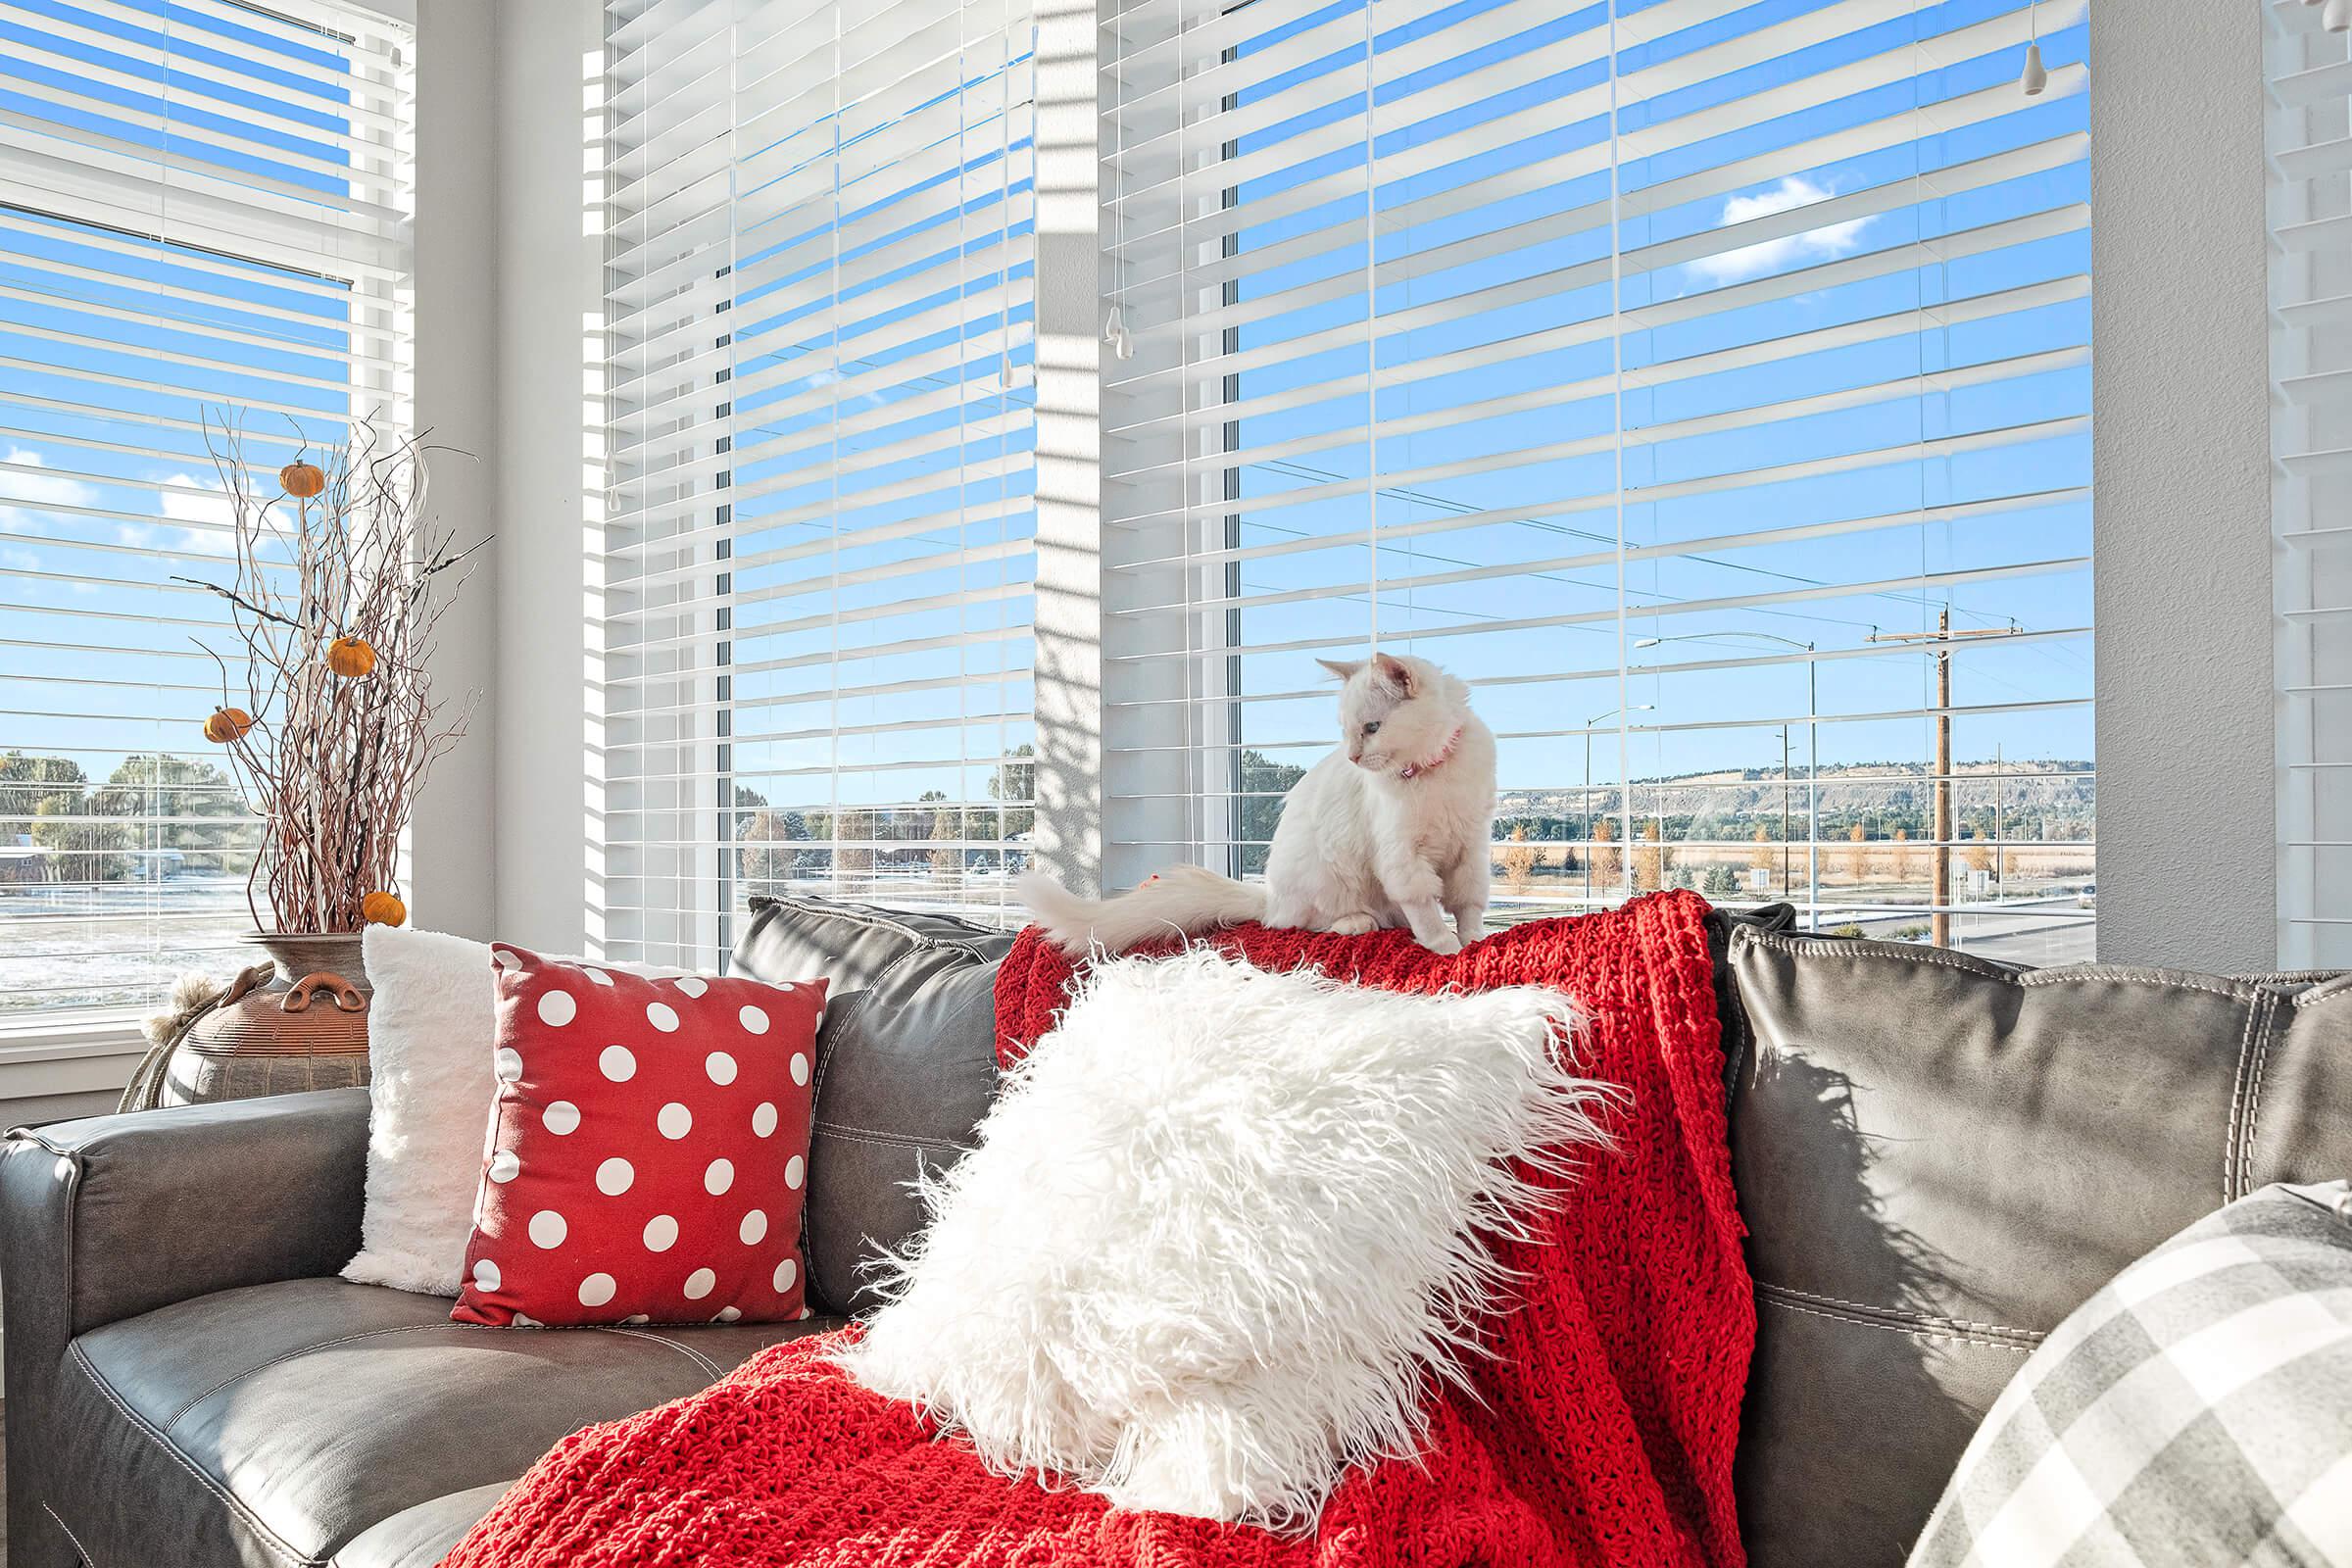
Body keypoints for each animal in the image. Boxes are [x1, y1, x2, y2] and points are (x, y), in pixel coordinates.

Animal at [1006, 653, 1486, 958]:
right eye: (1347, 731)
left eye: (1371, 728)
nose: (1352, 756)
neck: (1433, 773)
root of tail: (1268, 895)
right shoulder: (1401, 855)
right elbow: (1425, 907)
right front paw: (1444, 946)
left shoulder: (1470, 846)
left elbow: (1468, 904)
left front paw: (1472, 939)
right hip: (1328, 874)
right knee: (1301, 921)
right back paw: (1356, 922)